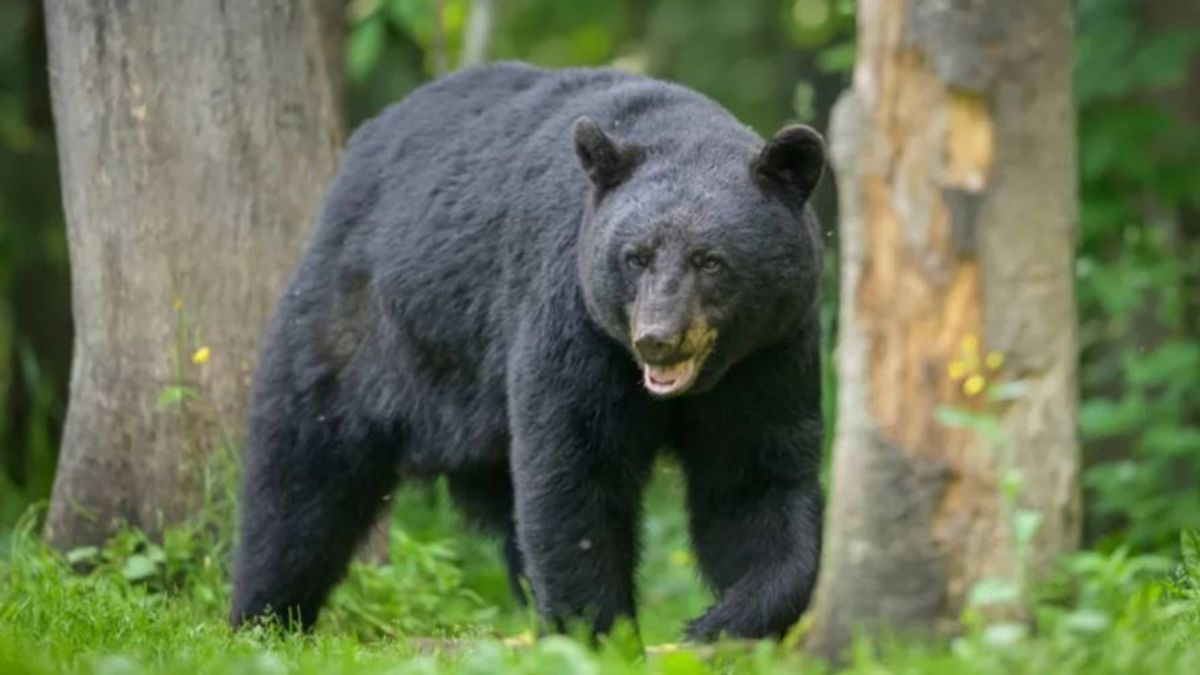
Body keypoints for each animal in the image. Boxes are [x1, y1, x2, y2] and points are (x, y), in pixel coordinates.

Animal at [228, 60, 820, 638]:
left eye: (710, 260)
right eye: (636, 256)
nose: (656, 337)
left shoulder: (768, 355)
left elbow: (755, 481)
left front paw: (722, 622)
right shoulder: (573, 320)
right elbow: (574, 473)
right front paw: (599, 634)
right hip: (356, 327)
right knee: (301, 478)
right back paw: (264, 618)